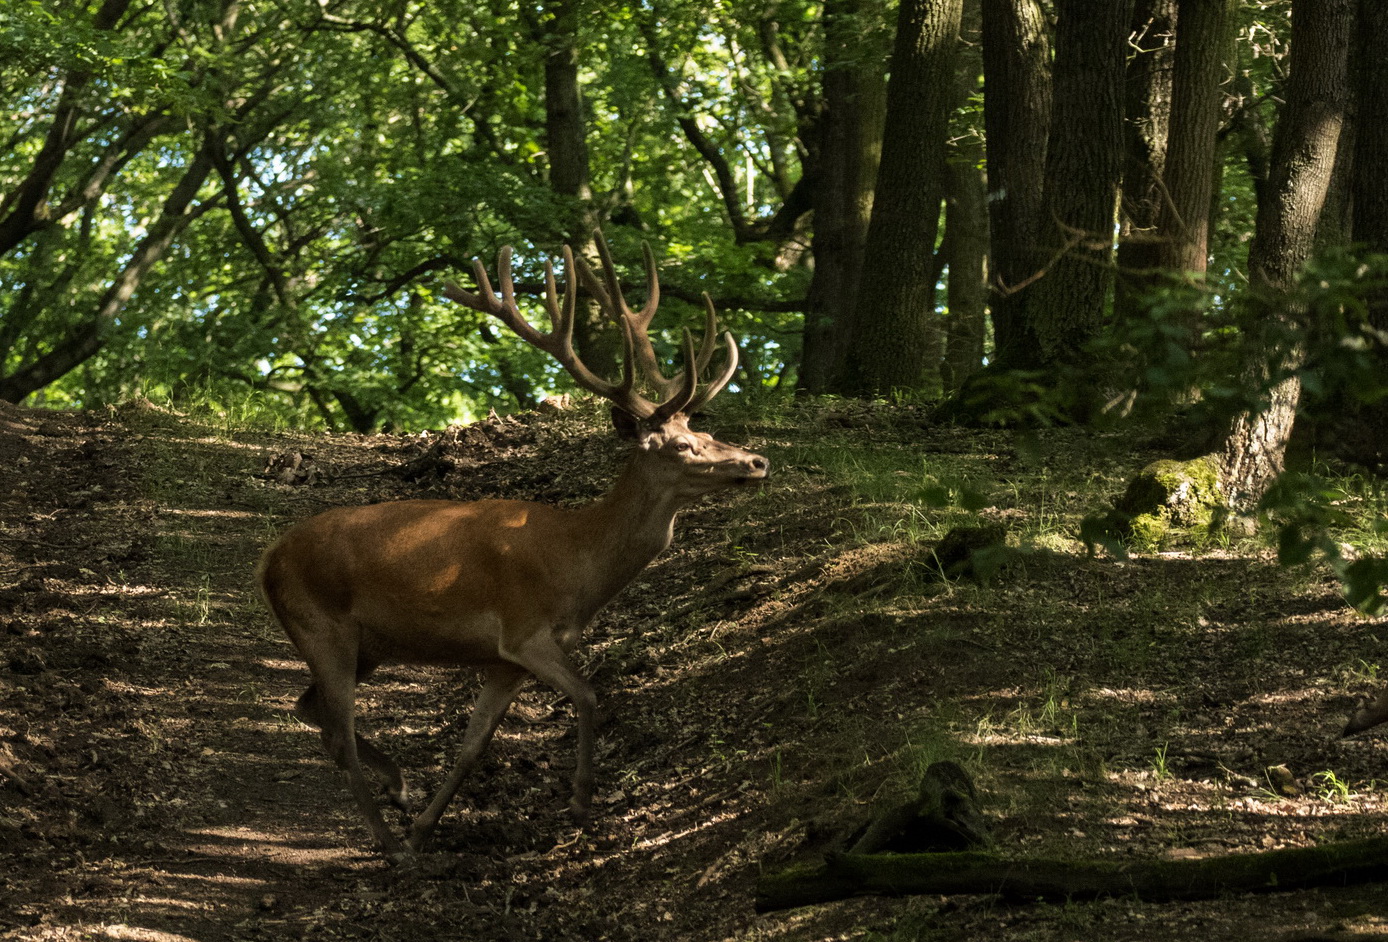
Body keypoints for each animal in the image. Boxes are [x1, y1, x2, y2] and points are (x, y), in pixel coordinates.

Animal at [257, 232, 770, 859]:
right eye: (680, 445)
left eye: (705, 433)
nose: (756, 461)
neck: (576, 564)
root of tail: (267, 561)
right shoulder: (526, 631)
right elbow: (589, 695)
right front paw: (579, 802)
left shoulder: (503, 660)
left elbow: (473, 745)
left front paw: (427, 825)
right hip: (322, 626)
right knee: (339, 732)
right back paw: (386, 838)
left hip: (367, 645)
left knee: (310, 710)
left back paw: (400, 793)